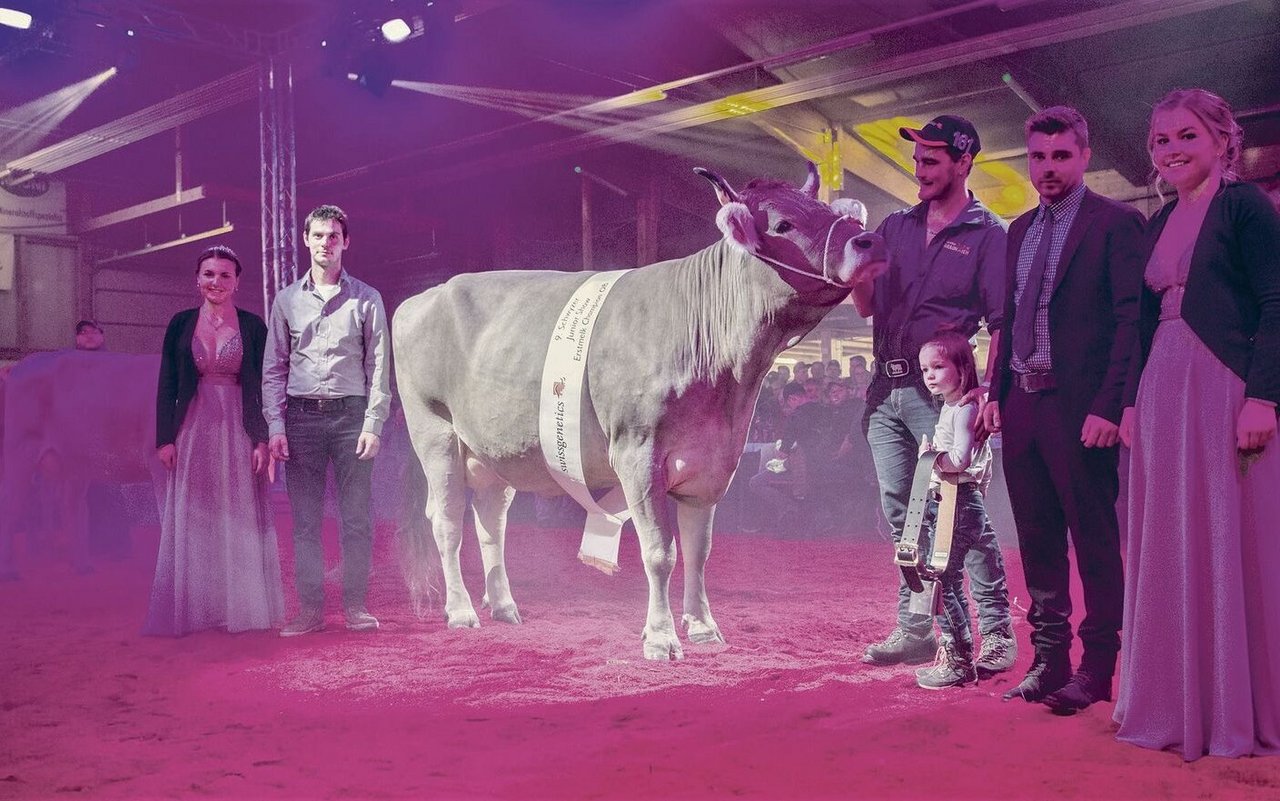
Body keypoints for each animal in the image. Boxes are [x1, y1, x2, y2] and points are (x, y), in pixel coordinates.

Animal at [0, 348, 165, 573]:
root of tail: (21, 365)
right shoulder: (158, 458)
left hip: (73, 462)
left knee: (68, 506)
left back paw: (78, 564)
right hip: (20, 449)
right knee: (11, 503)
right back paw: (11, 569)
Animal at [394, 162, 885, 655]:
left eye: (831, 213)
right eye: (783, 225)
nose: (868, 240)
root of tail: (421, 296)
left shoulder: (713, 462)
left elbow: (699, 551)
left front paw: (703, 626)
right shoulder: (638, 453)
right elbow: (660, 552)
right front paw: (661, 637)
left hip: (493, 452)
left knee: (490, 521)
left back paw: (503, 606)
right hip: (435, 434)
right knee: (448, 522)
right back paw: (461, 612)